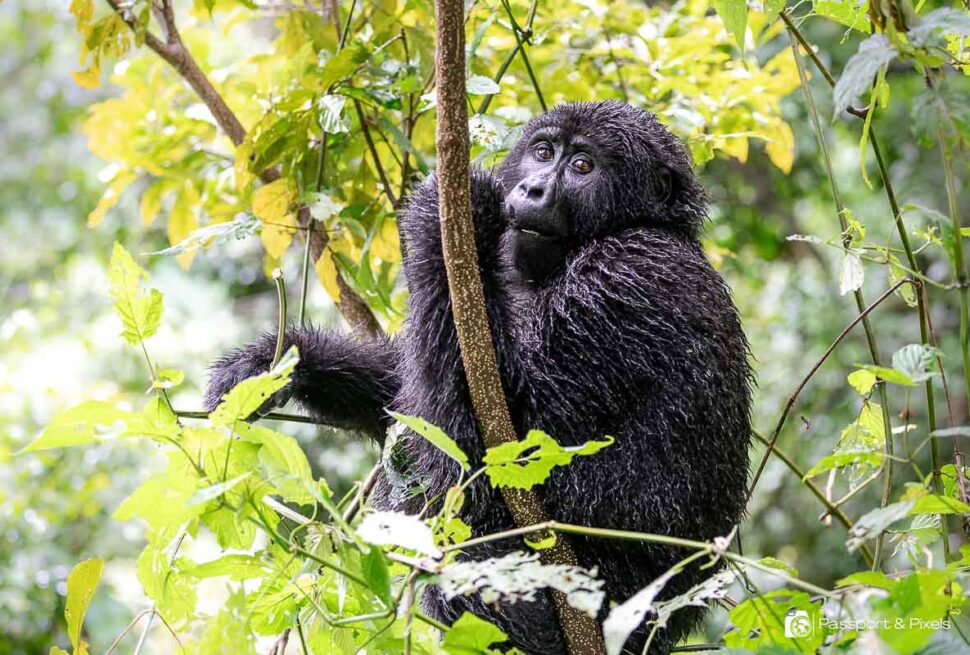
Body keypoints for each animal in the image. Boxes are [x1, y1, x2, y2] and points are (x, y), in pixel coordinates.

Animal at [205, 101, 752, 654]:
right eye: (542, 152)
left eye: (583, 166)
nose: (532, 189)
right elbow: (403, 393)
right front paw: (277, 365)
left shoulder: (628, 277)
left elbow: (508, 434)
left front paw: (451, 212)